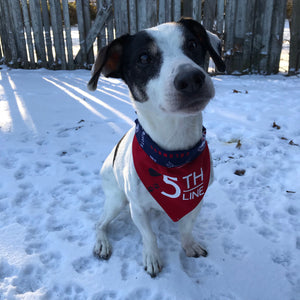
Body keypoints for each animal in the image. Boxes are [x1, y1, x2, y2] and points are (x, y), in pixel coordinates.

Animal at [86, 18, 225, 276]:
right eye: (143, 58)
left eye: (193, 44)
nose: (191, 78)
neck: (173, 151)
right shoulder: (137, 208)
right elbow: (149, 236)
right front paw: (152, 257)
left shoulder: (196, 200)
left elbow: (186, 228)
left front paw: (189, 245)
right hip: (117, 200)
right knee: (99, 223)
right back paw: (102, 243)